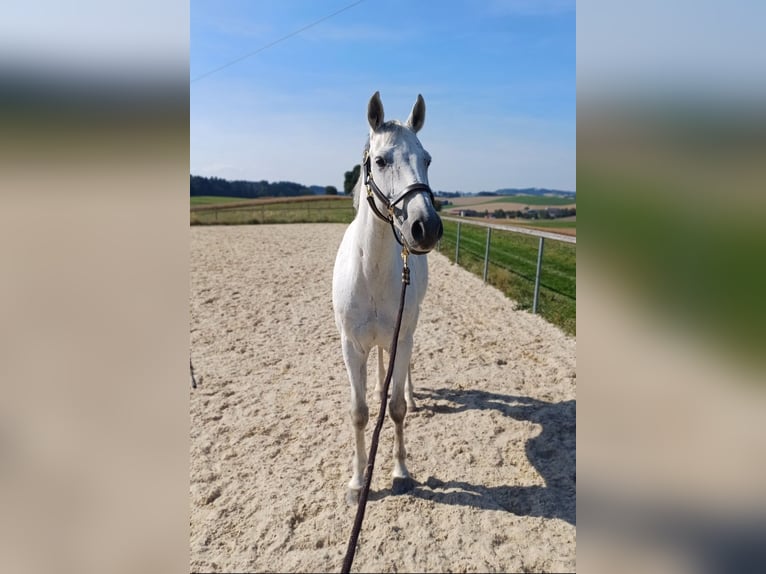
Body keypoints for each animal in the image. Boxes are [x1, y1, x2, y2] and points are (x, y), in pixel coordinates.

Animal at [330, 90, 444, 504]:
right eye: (380, 161)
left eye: (427, 159)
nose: (426, 227)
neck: (373, 269)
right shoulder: (352, 346)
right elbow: (360, 412)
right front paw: (357, 482)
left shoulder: (402, 337)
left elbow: (395, 409)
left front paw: (400, 473)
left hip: (407, 333)